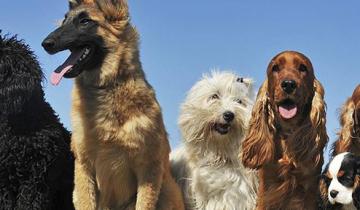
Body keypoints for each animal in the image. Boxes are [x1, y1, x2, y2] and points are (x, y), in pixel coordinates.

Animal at [42, 0, 186, 210]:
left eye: (85, 21)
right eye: (64, 20)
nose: (45, 44)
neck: (106, 87)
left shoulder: (148, 169)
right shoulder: (84, 167)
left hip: (167, 190)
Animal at [242, 50, 330, 210]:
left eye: (303, 68)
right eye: (275, 68)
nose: (288, 84)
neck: (288, 133)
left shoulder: (308, 187)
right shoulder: (267, 187)